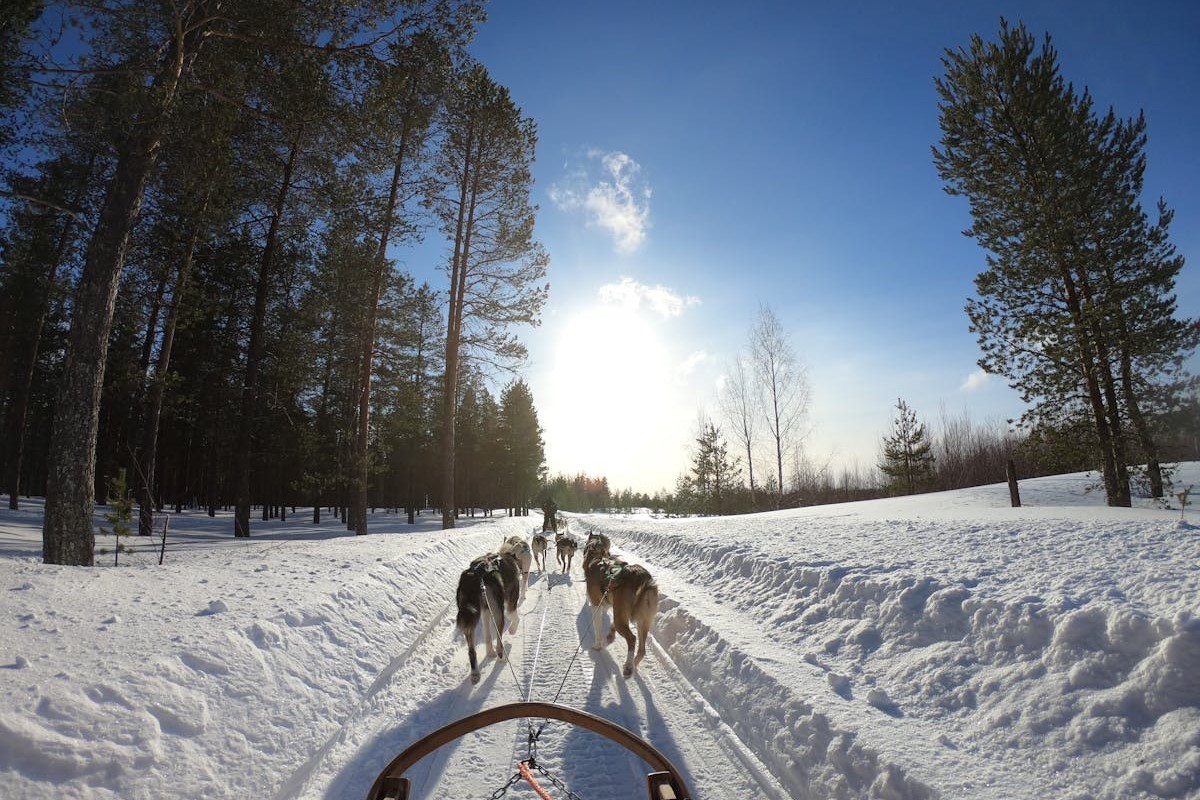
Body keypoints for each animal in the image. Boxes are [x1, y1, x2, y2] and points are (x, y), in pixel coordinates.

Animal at [453, 551, 520, 690]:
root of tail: (475, 575)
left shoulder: (485, 611)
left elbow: (487, 635)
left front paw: (489, 652)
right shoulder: (511, 603)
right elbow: (515, 617)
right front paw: (512, 630)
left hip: (470, 617)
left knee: (471, 651)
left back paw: (475, 673)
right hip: (498, 613)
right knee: (499, 644)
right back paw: (502, 658)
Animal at [580, 534, 657, 681]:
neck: (597, 556)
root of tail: (642, 578)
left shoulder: (596, 606)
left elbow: (597, 629)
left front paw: (597, 646)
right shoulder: (613, 607)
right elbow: (611, 624)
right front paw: (610, 634)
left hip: (625, 619)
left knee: (632, 639)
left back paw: (628, 667)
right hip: (642, 621)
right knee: (642, 650)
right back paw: (632, 665)